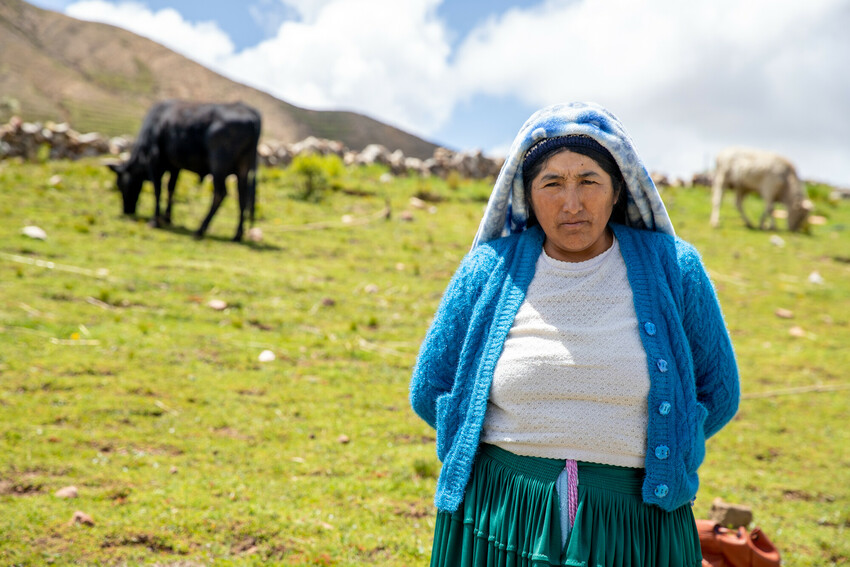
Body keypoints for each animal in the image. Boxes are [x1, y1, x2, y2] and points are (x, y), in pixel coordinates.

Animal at [109, 101, 262, 241]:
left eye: (120, 185)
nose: (127, 210)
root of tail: (251, 113)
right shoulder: (174, 166)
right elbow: (171, 188)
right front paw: (167, 218)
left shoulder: (155, 160)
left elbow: (158, 190)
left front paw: (155, 220)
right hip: (243, 167)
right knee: (243, 197)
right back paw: (237, 235)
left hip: (219, 164)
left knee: (220, 193)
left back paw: (200, 230)